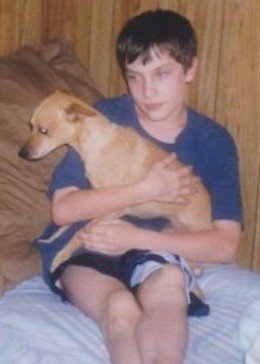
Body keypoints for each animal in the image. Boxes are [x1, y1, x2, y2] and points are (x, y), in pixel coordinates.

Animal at [19, 91, 211, 272]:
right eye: (31, 126)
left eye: (44, 131)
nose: (22, 154)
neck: (99, 144)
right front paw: (55, 235)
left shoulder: (113, 210)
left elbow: (80, 233)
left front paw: (62, 255)